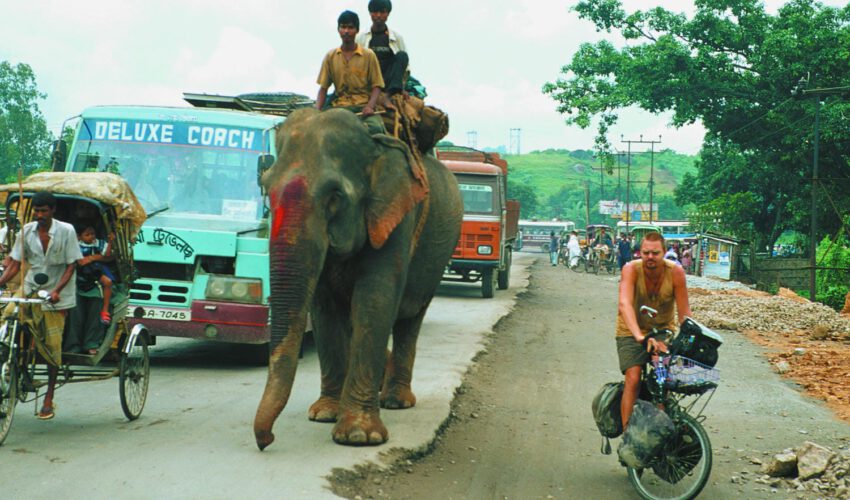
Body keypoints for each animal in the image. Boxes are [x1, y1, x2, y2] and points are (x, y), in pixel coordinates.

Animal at [253, 106, 464, 450]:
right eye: (266, 189)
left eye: (335, 196)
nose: (266, 440)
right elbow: (324, 307)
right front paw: (324, 414)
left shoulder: (396, 215)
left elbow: (374, 298)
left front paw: (358, 436)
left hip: (437, 259)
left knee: (410, 320)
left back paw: (396, 401)